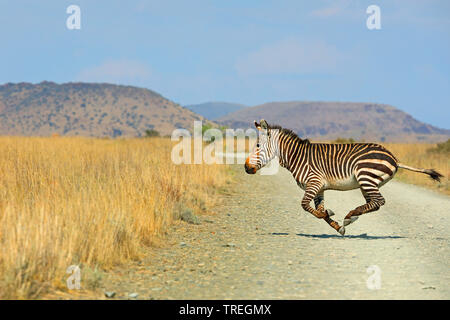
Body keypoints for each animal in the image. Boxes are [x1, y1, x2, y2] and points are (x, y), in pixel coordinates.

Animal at [243, 120, 442, 235]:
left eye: (258, 145)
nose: (246, 168)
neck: (298, 157)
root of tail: (394, 157)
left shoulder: (314, 182)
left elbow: (306, 206)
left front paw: (332, 214)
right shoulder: (319, 188)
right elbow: (318, 211)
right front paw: (338, 226)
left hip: (366, 177)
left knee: (379, 201)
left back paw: (349, 215)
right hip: (367, 183)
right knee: (374, 203)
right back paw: (350, 218)